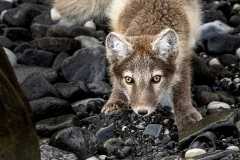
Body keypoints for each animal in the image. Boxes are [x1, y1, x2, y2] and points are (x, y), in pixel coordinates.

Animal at [53, 0, 202, 130]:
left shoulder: (182, 59)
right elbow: (116, 81)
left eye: (156, 78)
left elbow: (181, 89)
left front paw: (185, 115)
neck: (151, 24)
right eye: (129, 79)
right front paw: (116, 101)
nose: (142, 112)